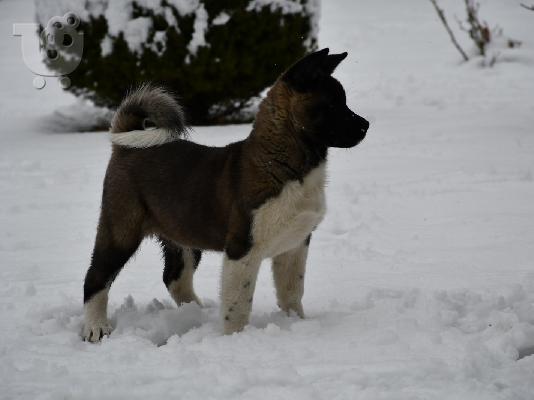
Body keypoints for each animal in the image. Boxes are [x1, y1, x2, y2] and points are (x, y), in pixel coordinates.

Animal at [84, 47, 370, 340]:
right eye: (332, 105)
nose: (365, 126)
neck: (284, 161)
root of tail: (126, 148)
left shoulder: (295, 244)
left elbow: (291, 292)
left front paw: (295, 322)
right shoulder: (241, 248)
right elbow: (238, 304)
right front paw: (235, 338)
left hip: (183, 236)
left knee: (175, 278)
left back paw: (197, 313)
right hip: (121, 230)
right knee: (96, 277)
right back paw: (96, 327)